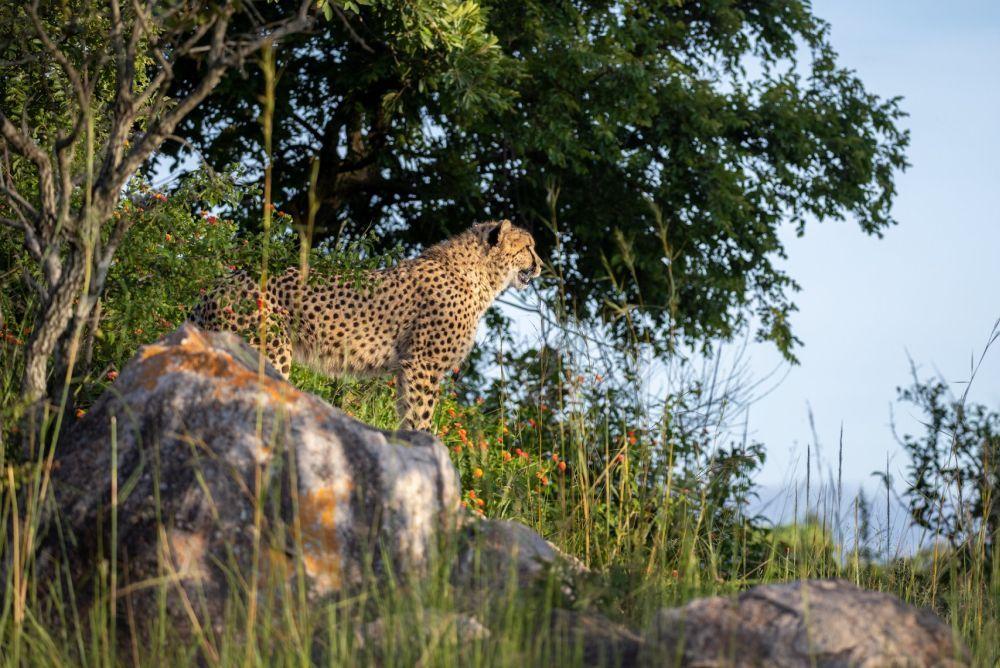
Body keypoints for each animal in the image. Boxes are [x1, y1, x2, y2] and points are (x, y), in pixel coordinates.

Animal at [191, 219, 544, 428]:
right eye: (528, 247)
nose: (540, 265)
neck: (481, 277)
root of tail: (218, 284)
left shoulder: (407, 367)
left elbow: (407, 411)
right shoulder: (423, 364)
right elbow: (422, 414)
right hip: (269, 350)